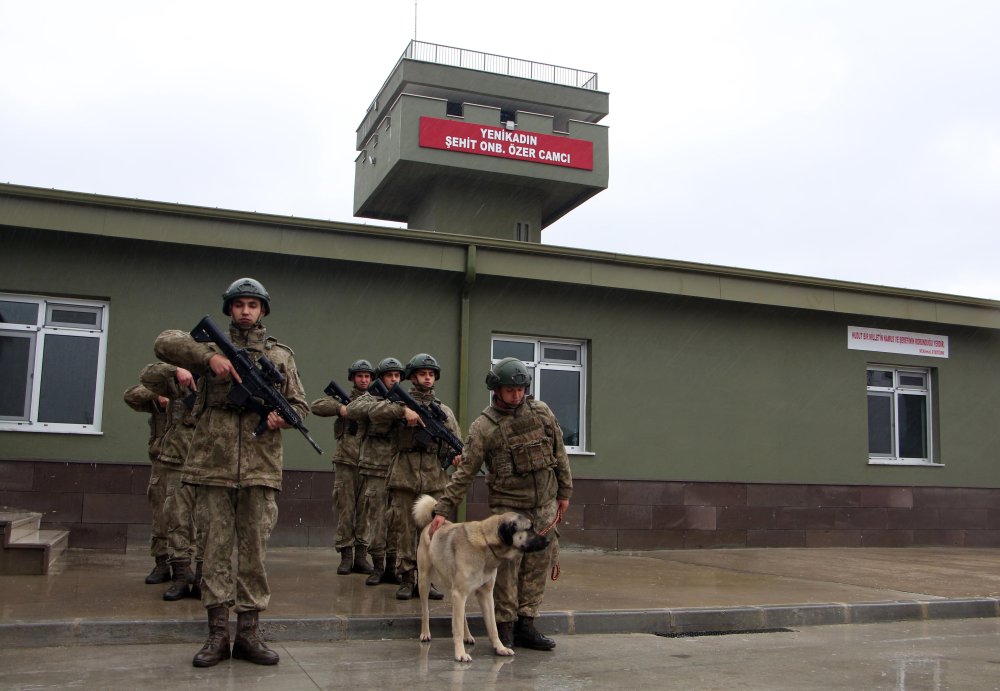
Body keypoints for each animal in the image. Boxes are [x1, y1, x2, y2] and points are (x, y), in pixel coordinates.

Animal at [414, 494, 556, 664]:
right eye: (529, 529)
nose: (548, 541)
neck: (486, 542)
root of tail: (432, 523)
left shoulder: (485, 594)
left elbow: (492, 626)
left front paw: (500, 648)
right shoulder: (459, 593)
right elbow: (457, 627)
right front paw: (460, 653)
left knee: (461, 616)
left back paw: (468, 636)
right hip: (425, 581)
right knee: (425, 610)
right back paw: (425, 633)